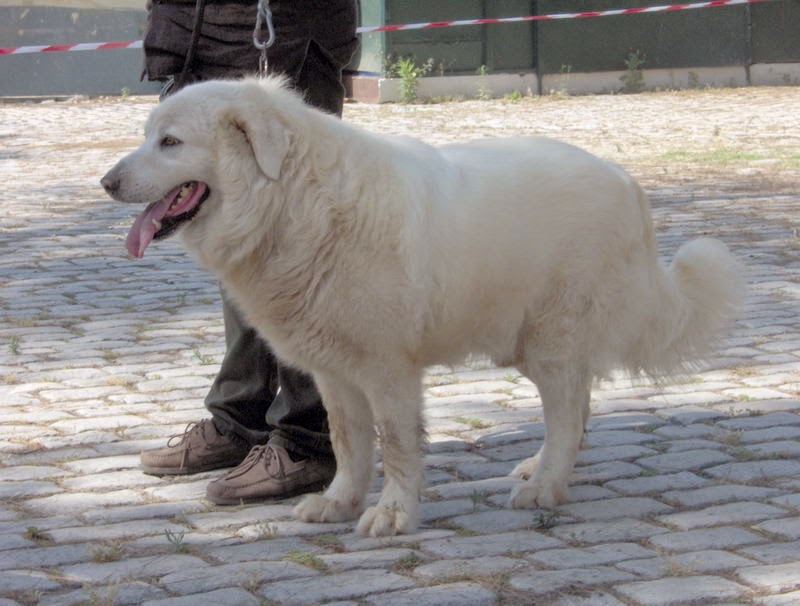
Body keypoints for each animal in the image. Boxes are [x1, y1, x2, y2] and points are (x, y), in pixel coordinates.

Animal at [101, 77, 744, 536]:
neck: (296, 200)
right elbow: (348, 441)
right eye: (147, 135)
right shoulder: (336, 372)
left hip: (552, 339)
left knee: (566, 414)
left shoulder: (389, 370)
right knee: (577, 408)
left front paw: (393, 515)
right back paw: (539, 469)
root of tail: (625, 182)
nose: (106, 182)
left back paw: (544, 487)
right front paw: (338, 503)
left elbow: (398, 444)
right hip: (529, 343)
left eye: (170, 142)